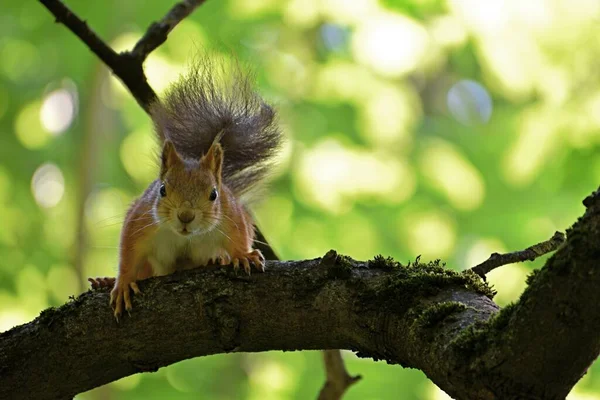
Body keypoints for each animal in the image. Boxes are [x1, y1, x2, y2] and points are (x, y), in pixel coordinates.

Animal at [89, 57, 284, 318]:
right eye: (162, 189)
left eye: (214, 194)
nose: (185, 216)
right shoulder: (140, 221)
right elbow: (128, 253)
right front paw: (122, 284)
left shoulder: (230, 216)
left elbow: (239, 236)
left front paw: (243, 255)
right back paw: (106, 281)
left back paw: (217, 259)